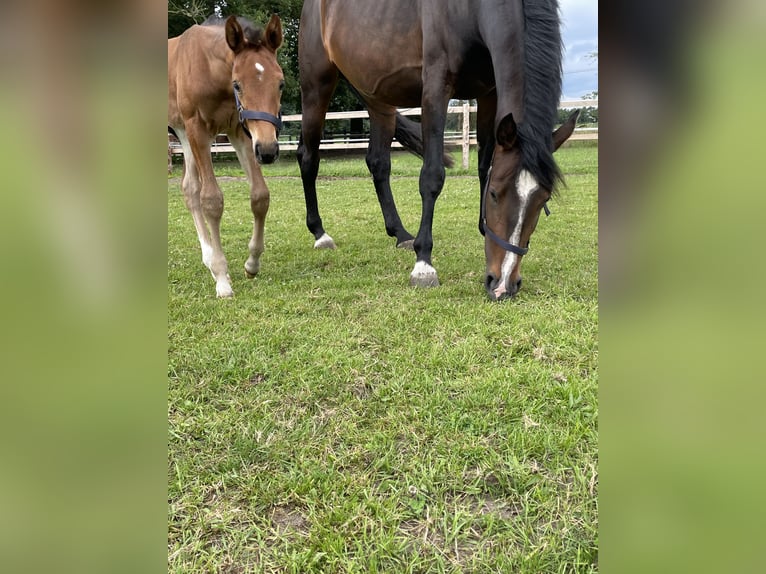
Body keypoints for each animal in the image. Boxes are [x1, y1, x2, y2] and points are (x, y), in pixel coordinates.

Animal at [168, 15, 284, 300]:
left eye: (281, 83)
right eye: (237, 84)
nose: (268, 151)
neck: (211, 70)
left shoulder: (240, 130)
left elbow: (260, 196)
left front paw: (252, 263)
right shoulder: (198, 128)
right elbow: (211, 200)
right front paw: (222, 278)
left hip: (182, 134)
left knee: (188, 188)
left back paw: (208, 259)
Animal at [296, 1, 580, 302]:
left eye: (543, 199)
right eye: (495, 194)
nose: (503, 285)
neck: (470, 12)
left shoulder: (488, 94)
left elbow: (484, 164)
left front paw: (483, 229)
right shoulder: (435, 86)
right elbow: (432, 176)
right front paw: (424, 265)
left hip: (378, 98)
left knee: (378, 163)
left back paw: (400, 234)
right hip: (316, 87)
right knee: (309, 158)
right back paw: (320, 234)